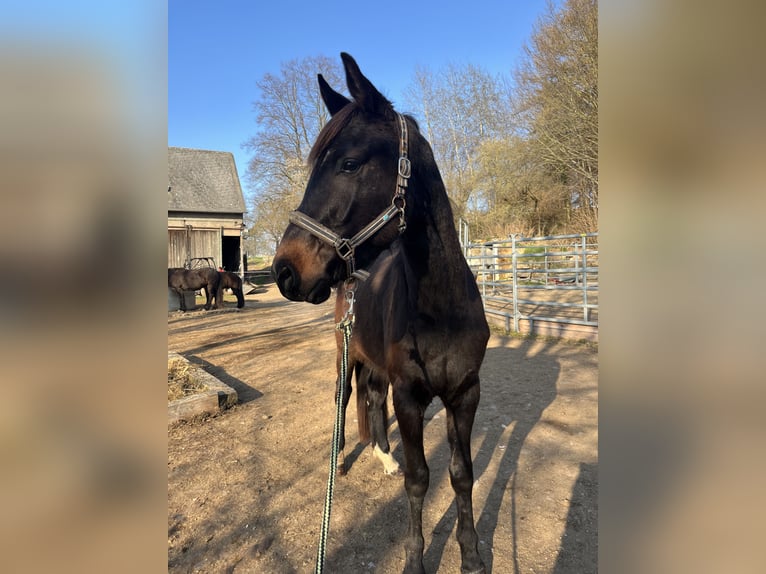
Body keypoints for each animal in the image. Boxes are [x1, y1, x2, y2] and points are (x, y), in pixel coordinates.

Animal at [272, 53, 490, 574]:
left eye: (349, 163)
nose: (284, 270)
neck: (440, 310)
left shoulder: (465, 394)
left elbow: (462, 474)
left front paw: (471, 554)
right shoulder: (411, 397)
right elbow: (420, 478)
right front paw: (414, 559)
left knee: (372, 399)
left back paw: (384, 456)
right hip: (345, 354)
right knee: (345, 398)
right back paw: (340, 461)